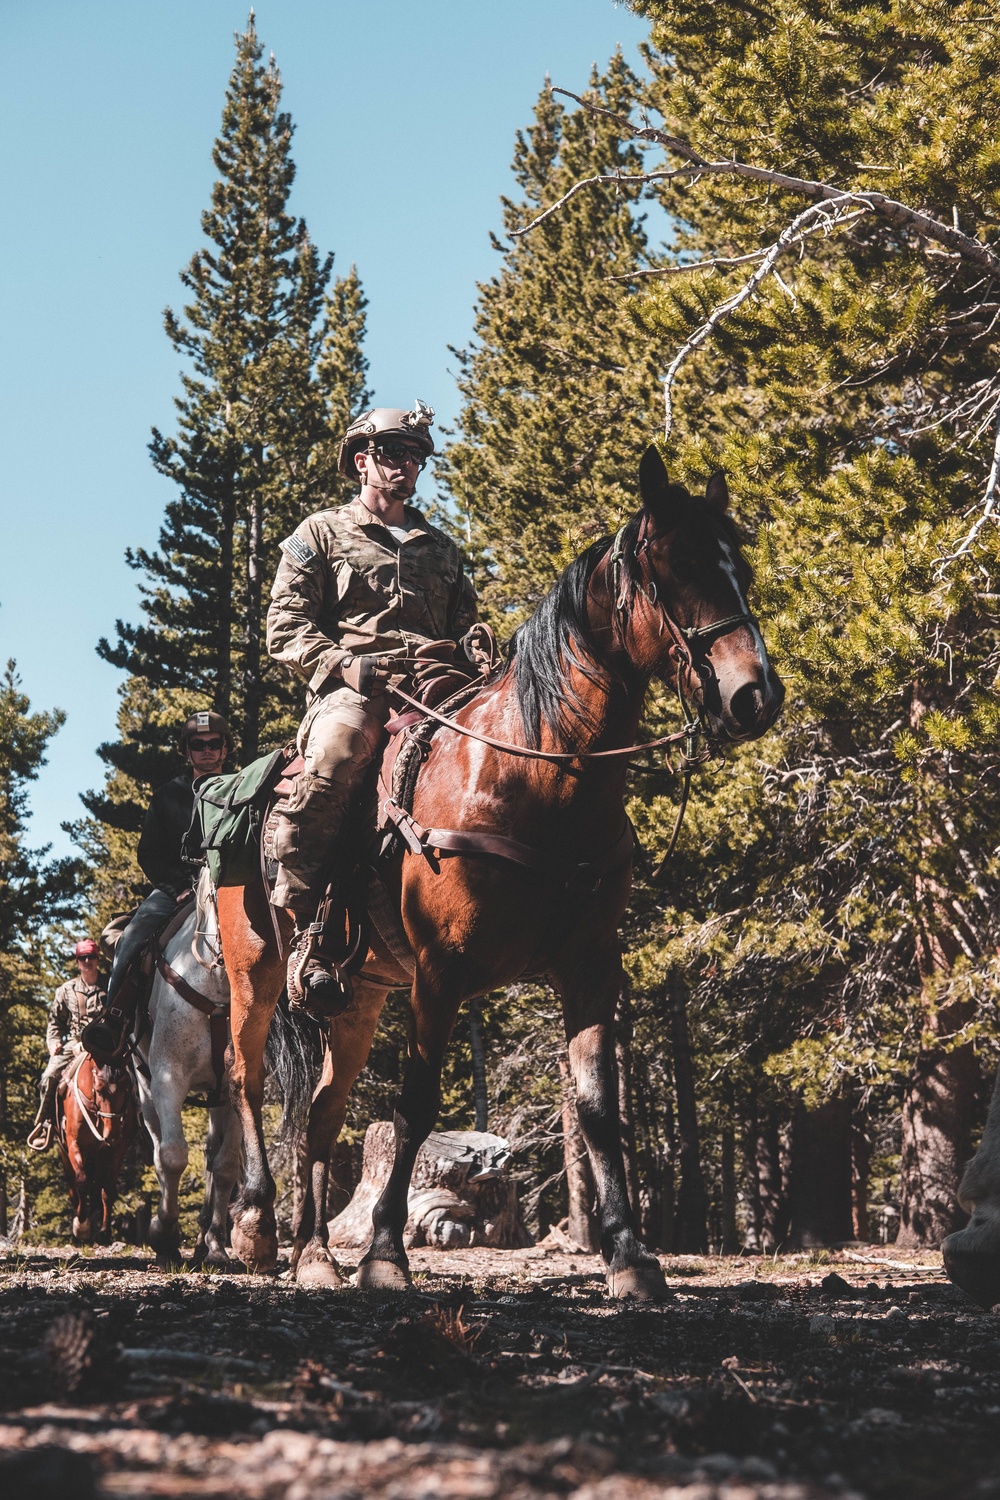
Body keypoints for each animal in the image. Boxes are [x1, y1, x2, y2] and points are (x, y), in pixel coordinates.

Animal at [56, 1050, 137, 1248]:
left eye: (126, 1088)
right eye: (99, 1089)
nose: (112, 1134)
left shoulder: (116, 1150)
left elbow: (107, 1190)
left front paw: (104, 1233)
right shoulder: (74, 1144)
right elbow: (81, 1181)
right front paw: (81, 1227)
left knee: (96, 1188)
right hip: (65, 1153)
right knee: (73, 1189)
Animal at [220, 447, 791, 1302]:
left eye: (739, 566)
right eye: (674, 569)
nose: (754, 695)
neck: (539, 778)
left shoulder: (589, 968)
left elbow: (598, 1112)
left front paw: (631, 1256)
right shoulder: (439, 972)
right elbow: (418, 1105)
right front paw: (386, 1255)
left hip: (358, 999)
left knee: (320, 1113)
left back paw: (316, 1255)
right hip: (255, 973)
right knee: (247, 1082)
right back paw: (259, 1229)